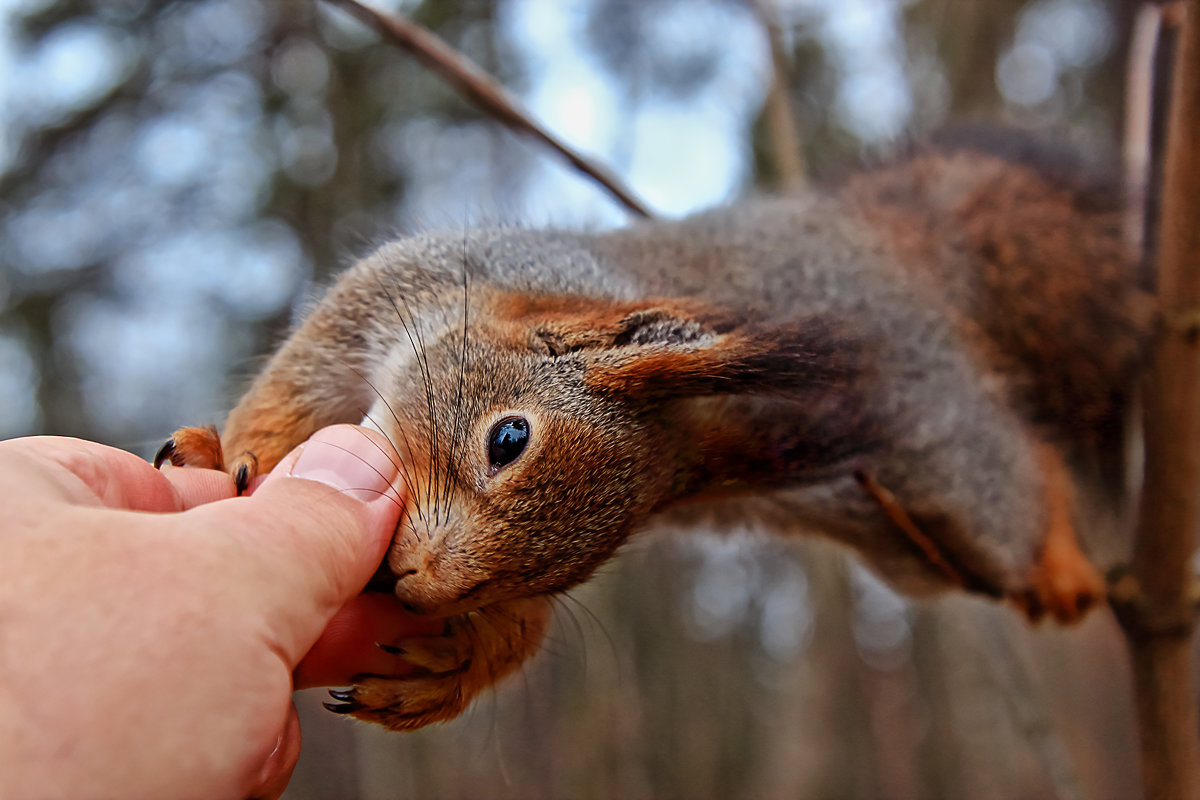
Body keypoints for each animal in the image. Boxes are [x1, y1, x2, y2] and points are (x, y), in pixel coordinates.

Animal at [157, 130, 1152, 734]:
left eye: (569, 566)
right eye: (507, 440)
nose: (419, 586)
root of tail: (892, 244)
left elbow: (519, 633)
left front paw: (459, 665)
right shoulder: (382, 298)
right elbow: (290, 388)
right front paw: (236, 452)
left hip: (945, 468)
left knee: (1024, 466)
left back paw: (1064, 563)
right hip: (907, 529)